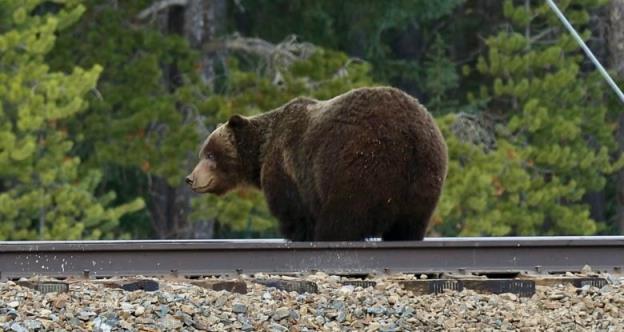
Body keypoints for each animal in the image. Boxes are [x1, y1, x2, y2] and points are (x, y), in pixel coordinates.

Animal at [185, 87, 448, 240]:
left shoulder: (287, 169)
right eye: (203, 153)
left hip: (359, 164)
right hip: (424, 177)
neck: (262, 152)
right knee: (409, 224)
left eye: (210, 155)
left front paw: (298, 236)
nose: (190, 178)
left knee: (343, 218)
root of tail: (410, 134)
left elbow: (294, 213)